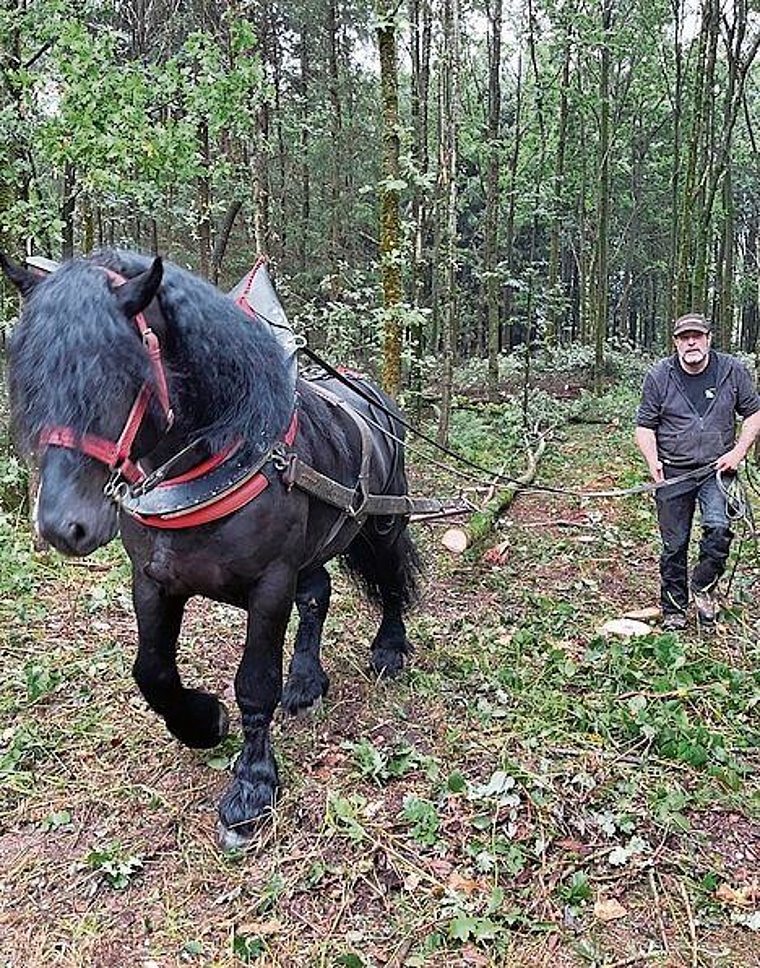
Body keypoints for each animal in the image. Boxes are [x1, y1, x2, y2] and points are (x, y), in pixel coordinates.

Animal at [2, 250, 418, 848]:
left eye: (120, 374)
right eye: (31, 379)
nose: (62, 525)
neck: (218, 456)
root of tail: (370, 391)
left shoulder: (270, 584)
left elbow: (255, 684)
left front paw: (252, 786)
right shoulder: (152, 580)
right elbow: (151, 671)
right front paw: (201, 722)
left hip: (383, 520)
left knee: (389, 578)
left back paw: (388, 649)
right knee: (318, 593)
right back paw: (306, 681)